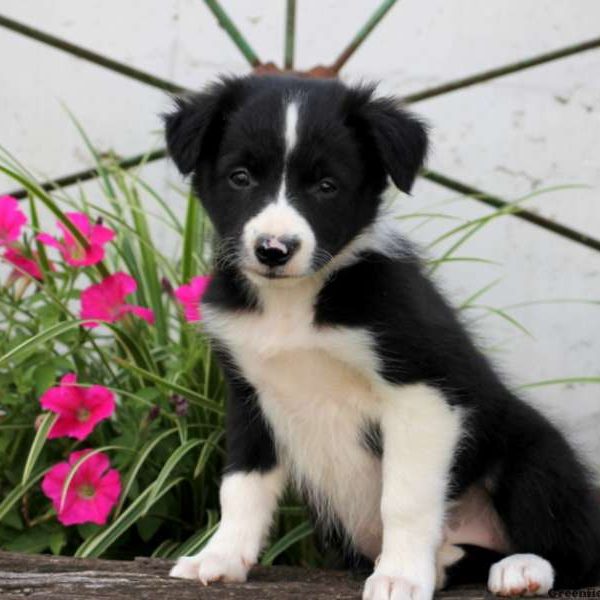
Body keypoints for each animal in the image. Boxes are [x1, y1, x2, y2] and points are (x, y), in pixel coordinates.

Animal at [164, 76, 600, 600]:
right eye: (241, 177)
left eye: (326, 187)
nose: (273, 249)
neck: (293, 303)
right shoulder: (249, 394)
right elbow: (242, 484)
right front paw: (220, 557)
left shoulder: (422, 391)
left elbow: (404, 497)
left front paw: (400, 576)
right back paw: (447, 561)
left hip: (535, 453)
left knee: (575, 548)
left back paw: (520, 567)